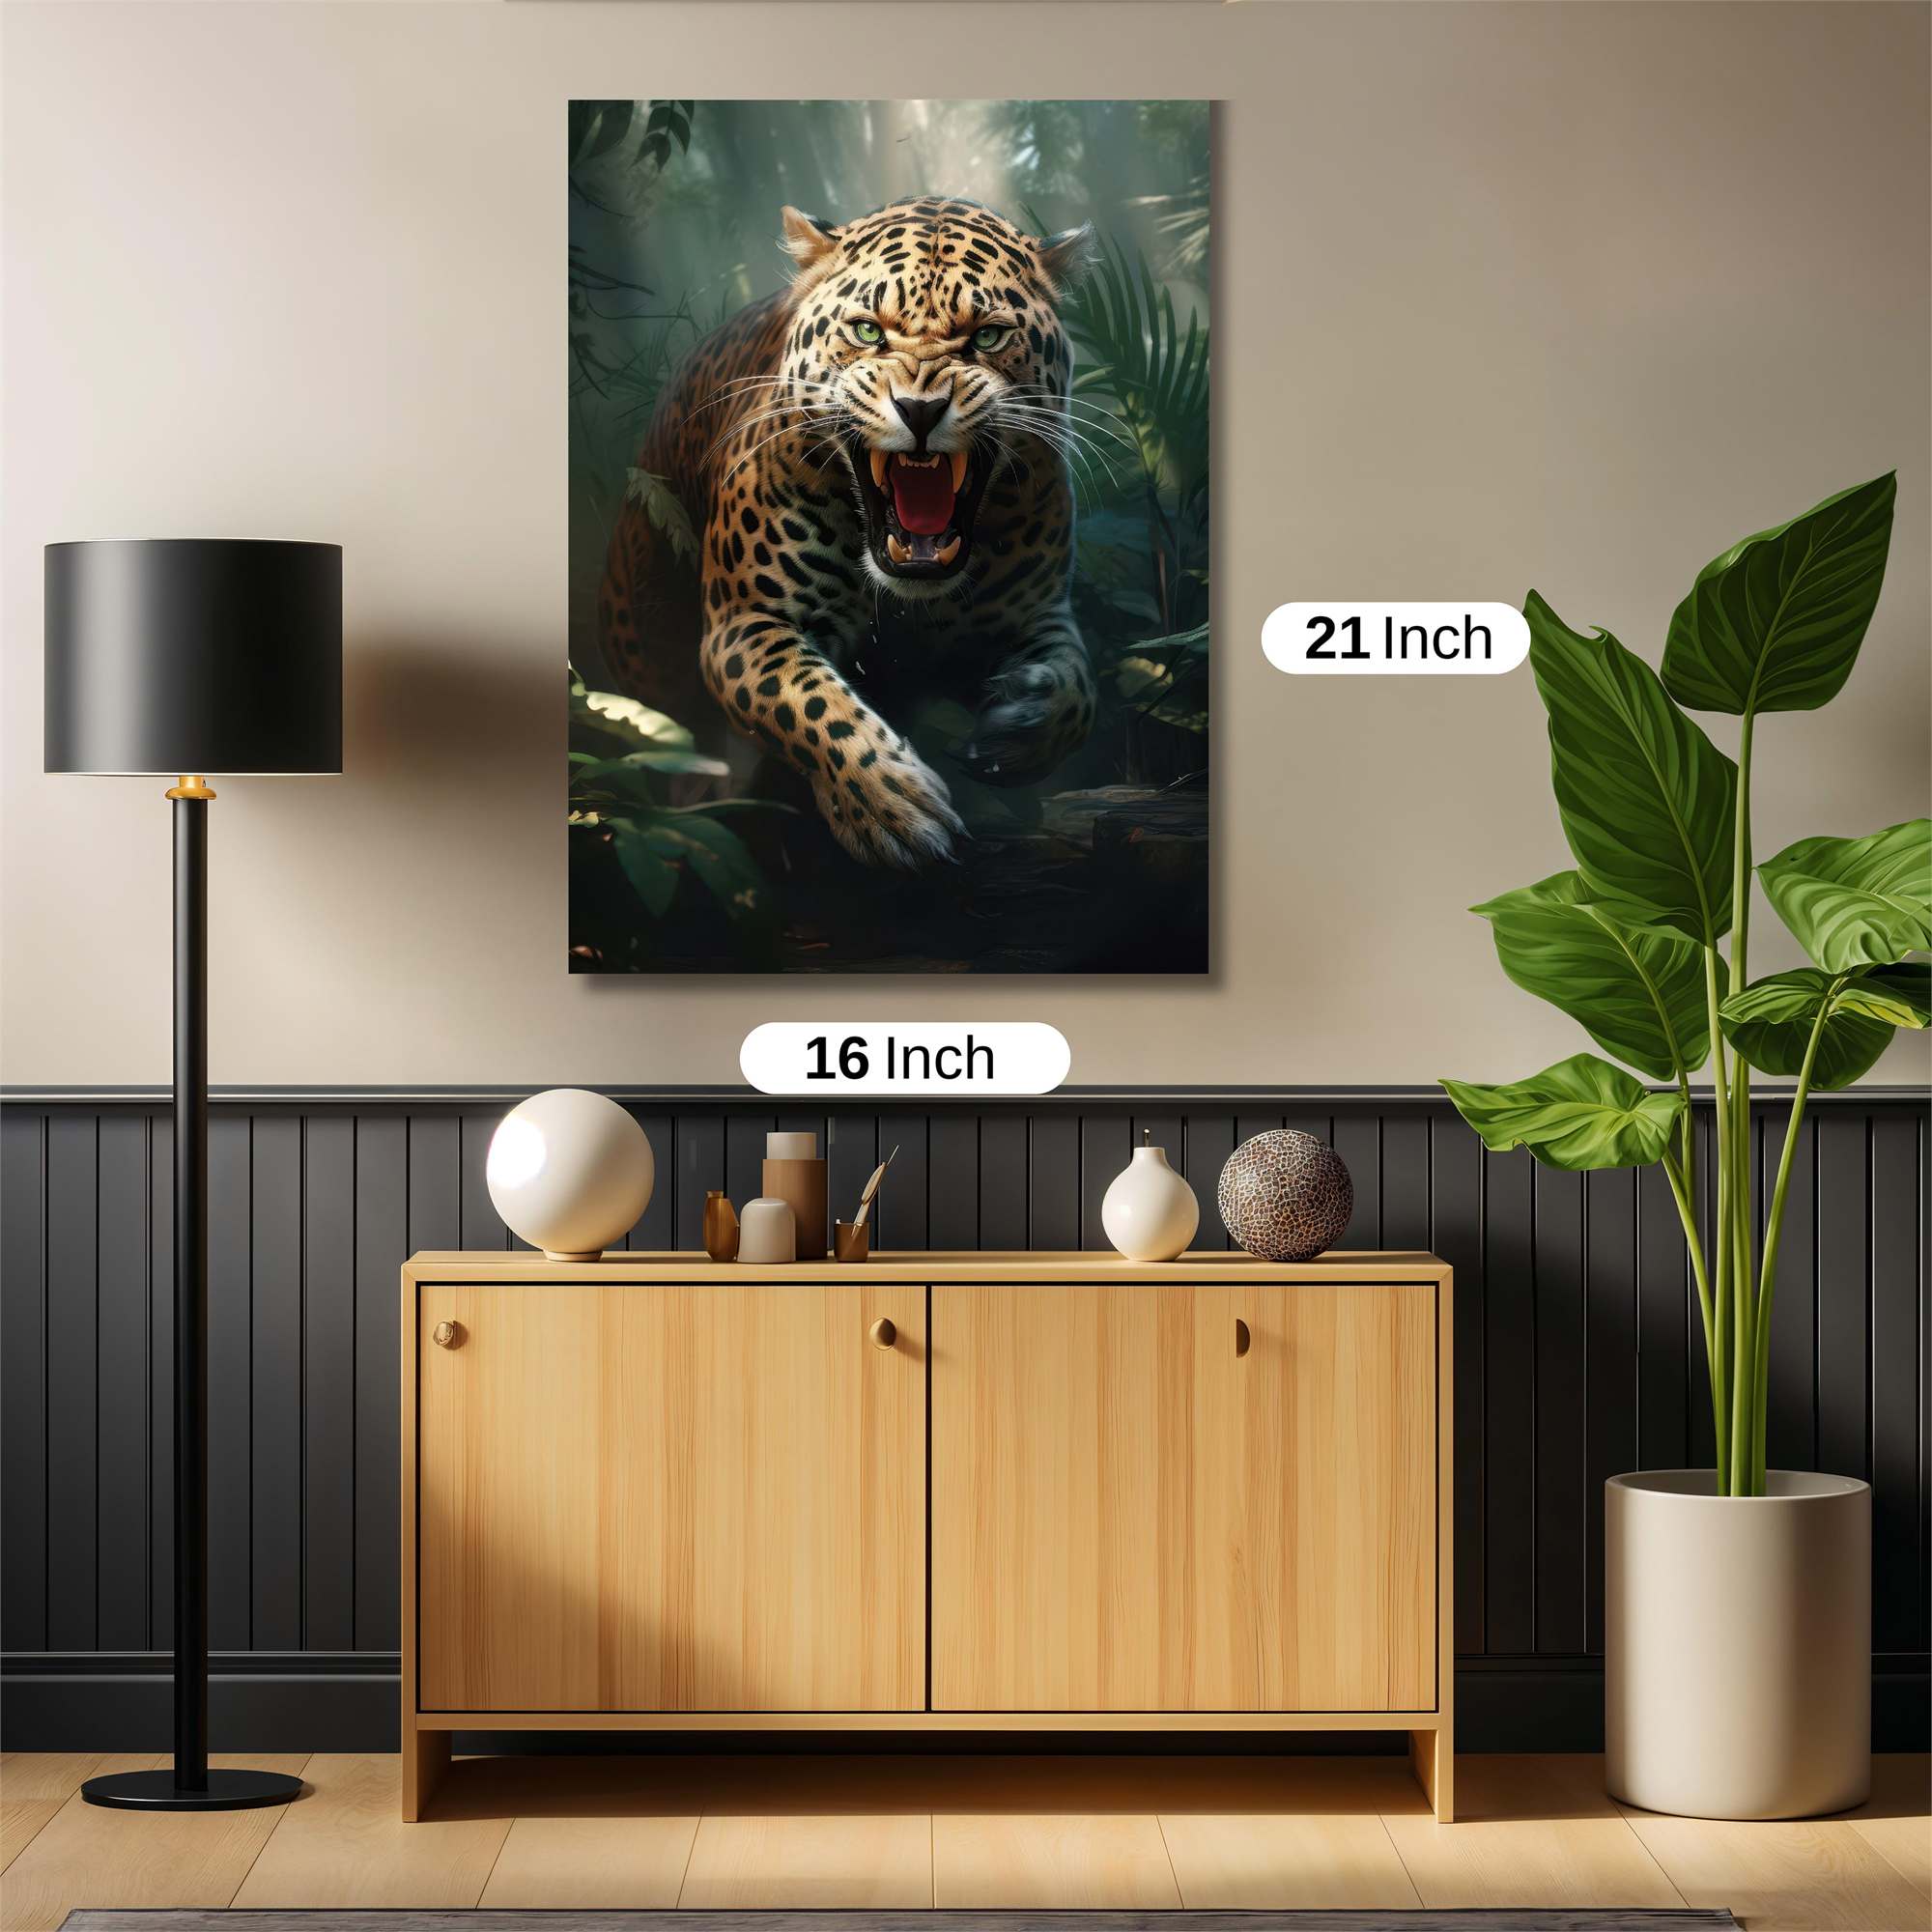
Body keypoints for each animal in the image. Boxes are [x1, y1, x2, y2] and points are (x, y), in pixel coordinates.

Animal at [596, 195, 1098, 870]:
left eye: (987, 336)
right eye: (867, 331)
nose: (920, 410)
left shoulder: (1037, 612)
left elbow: (1077, 689)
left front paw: (1017, 728)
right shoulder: (745, 623)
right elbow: (810, 703)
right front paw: (891, 807)